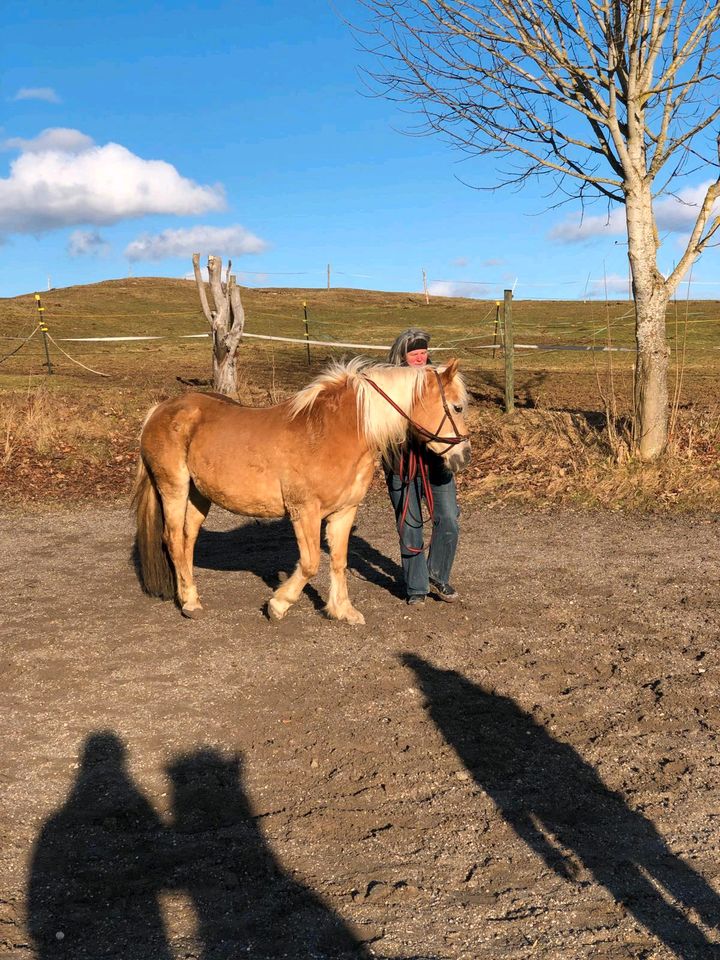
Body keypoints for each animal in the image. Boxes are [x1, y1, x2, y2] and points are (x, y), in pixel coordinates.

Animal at [131, 356, 470, 628]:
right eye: (457, 407)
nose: (463, 456)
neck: (333, 432)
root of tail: (160, 409)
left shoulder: (344, 512)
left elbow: (338, 561)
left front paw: (342, 611)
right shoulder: (304, 511)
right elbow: (310, 564)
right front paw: (278, 605)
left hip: (199, 496)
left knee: (187, 540)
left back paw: (190, 594)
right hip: (174, 489)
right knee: (173, 541)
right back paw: (189, 603)